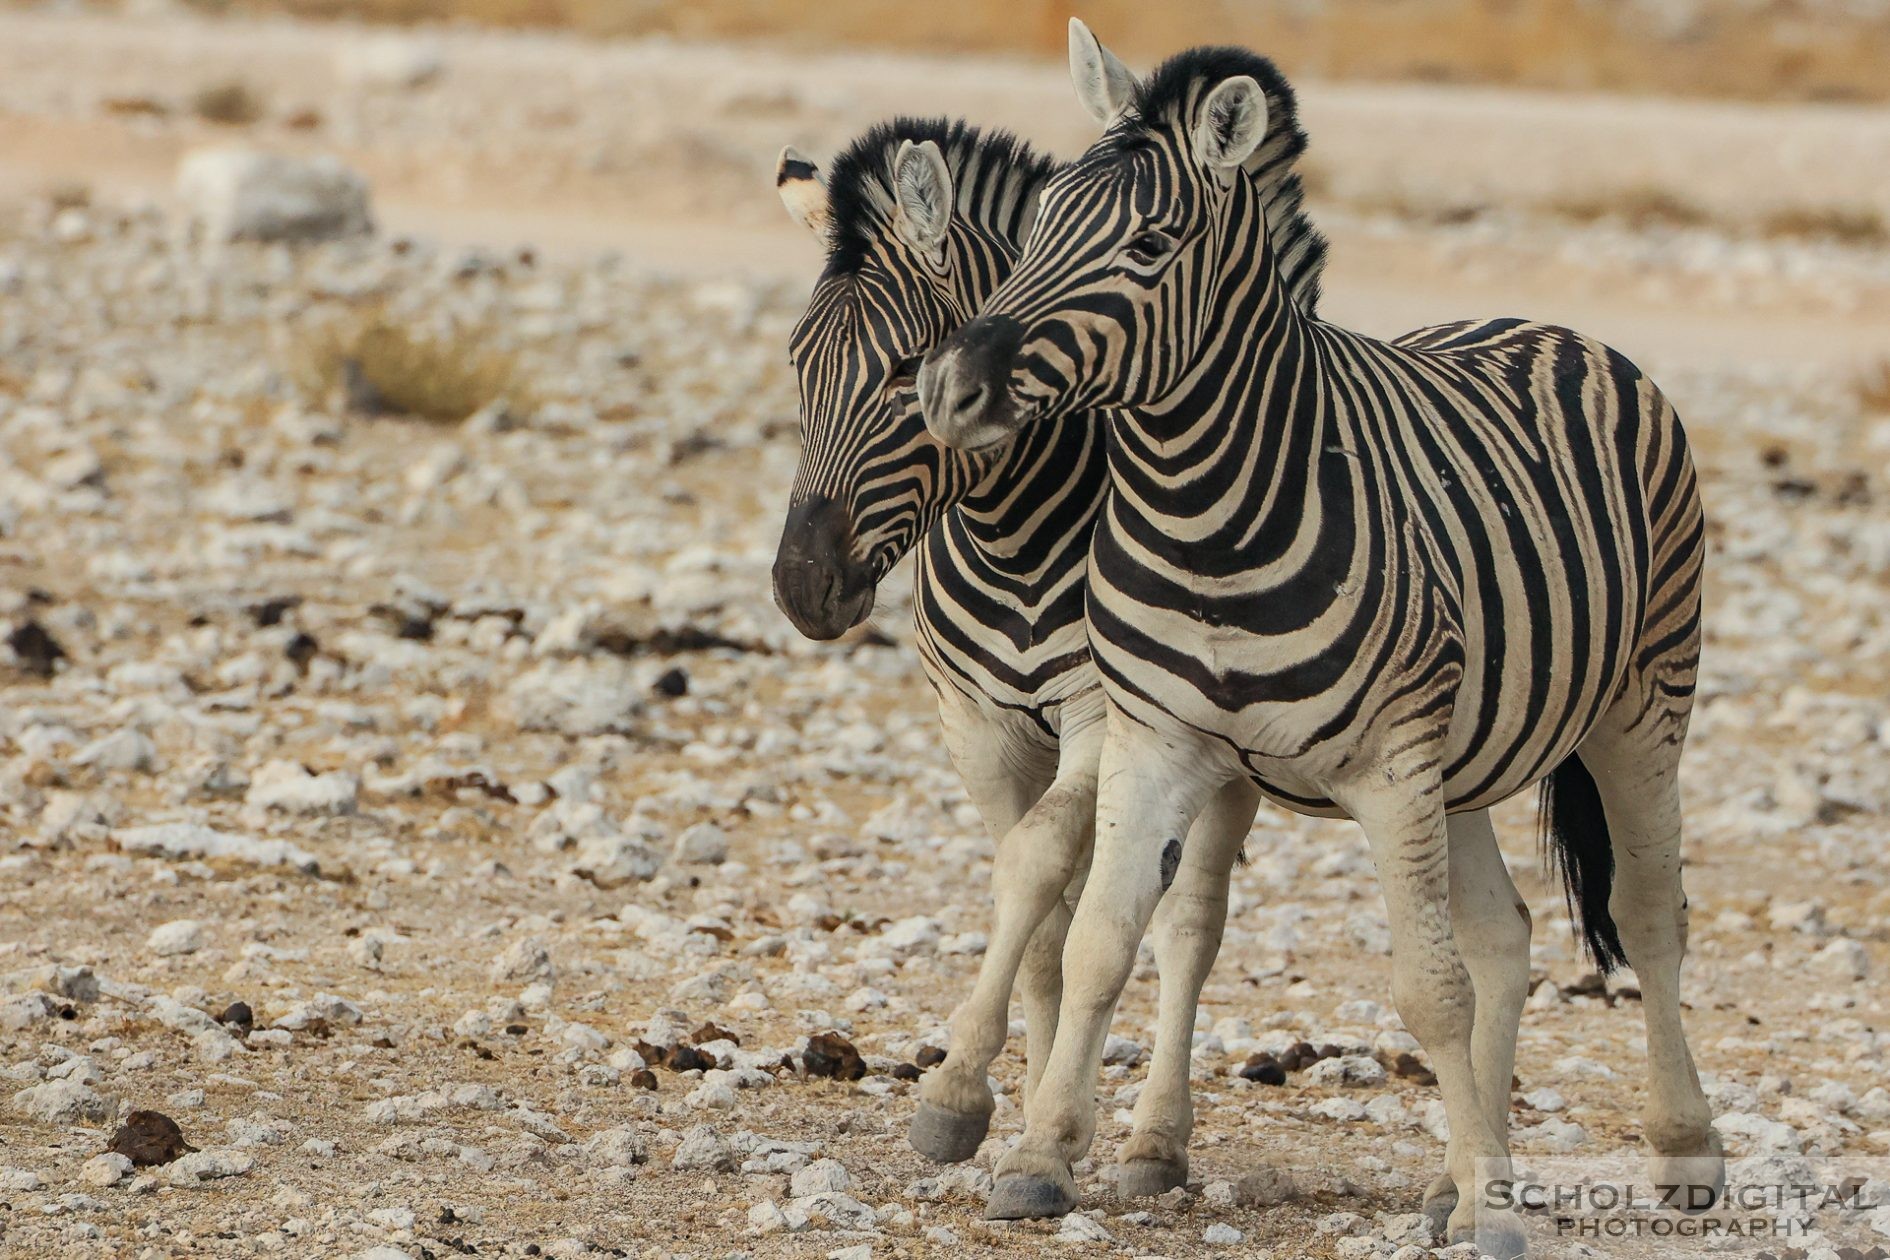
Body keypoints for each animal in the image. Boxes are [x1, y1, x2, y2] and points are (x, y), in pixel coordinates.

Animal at [763, 115, 1270, 1193]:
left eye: (905, 367)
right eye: (796, 363)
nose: (801, 587)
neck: (1019, 538)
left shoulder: (1103, 716)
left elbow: (1040, 867)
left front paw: (958, 1098)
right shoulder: (980, 728)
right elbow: (1036, 907)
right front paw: (1020, 1106)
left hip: (1221, 753)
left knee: (1190, 922)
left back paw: (1157, 1140)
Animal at [918, 19, 1731, 1254]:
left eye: (1151, 245)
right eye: (1041, 219)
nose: (953, 390)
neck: (1207, 513)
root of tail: (1550, 325)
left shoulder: (1392, 767)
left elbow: (1428, 991)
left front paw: (1500, 1214)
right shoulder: (1161, 740)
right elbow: (1105, 935)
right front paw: (1041, 1156)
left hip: (1643, 701)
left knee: (1645, 915)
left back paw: (1677, 1150)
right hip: (1469, 756)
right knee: (1504, 933)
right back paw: (1458, 1174)